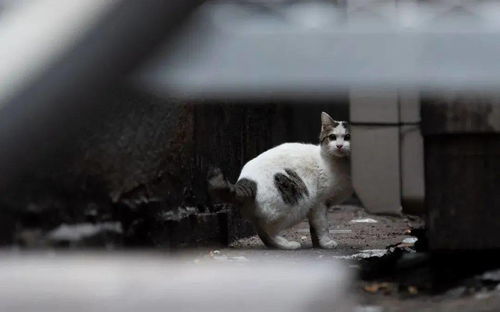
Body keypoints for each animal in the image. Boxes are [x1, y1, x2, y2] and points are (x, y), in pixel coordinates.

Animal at [207, 111, 352, 249]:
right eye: (332, 137)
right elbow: (322, 225)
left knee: (262, 231)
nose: (339, 146)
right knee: (269, 231)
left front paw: (317, 245)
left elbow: (314, 228)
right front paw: (326, 243)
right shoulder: (319, 203)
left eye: (347, 137)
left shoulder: (316, 207)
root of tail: (246, 181)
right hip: (298, 202)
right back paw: (288, 245)